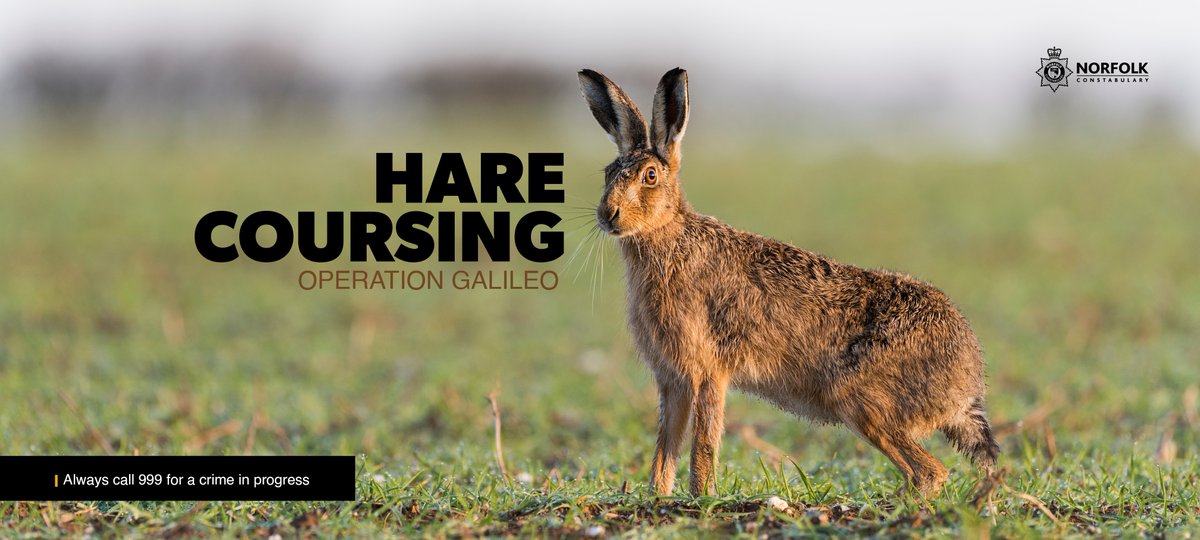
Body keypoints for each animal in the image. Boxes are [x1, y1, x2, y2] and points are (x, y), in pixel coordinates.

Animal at [577, 67, 998, 497]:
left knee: (930, 472)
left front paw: (701, 497)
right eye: (608, 174)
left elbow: (703, 443)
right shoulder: (672, 379)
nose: (608, 214)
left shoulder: (707, 371)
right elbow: (665, 447)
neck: (667, 236)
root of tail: (965, 383)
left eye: (650, 176)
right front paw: (658, 496)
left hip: (864, 404)